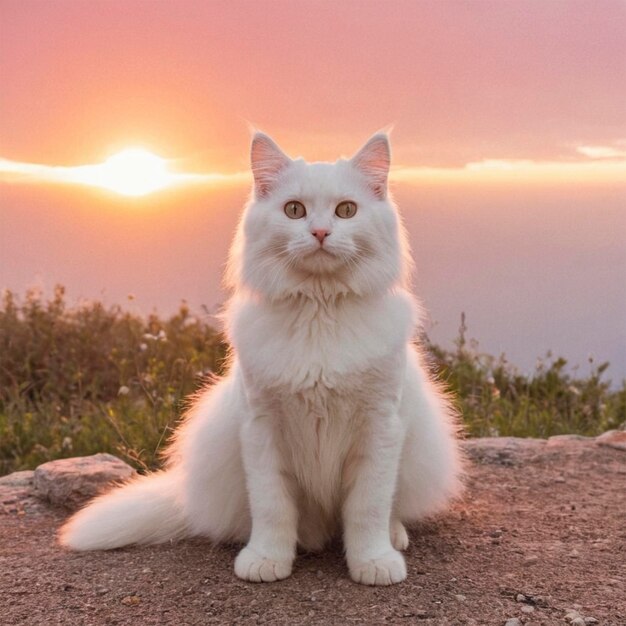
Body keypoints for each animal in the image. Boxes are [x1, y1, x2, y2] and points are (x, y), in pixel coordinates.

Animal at [61, 132, 460, 584]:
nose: (320, 231)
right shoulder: (262, 426)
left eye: (346, 210)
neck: (318, 311)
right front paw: (267, 559)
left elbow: (368, 507)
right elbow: (272, 507)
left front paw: (373, 562)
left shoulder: (380, 425)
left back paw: (393, 537)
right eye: (294, 210)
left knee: (388, 510)